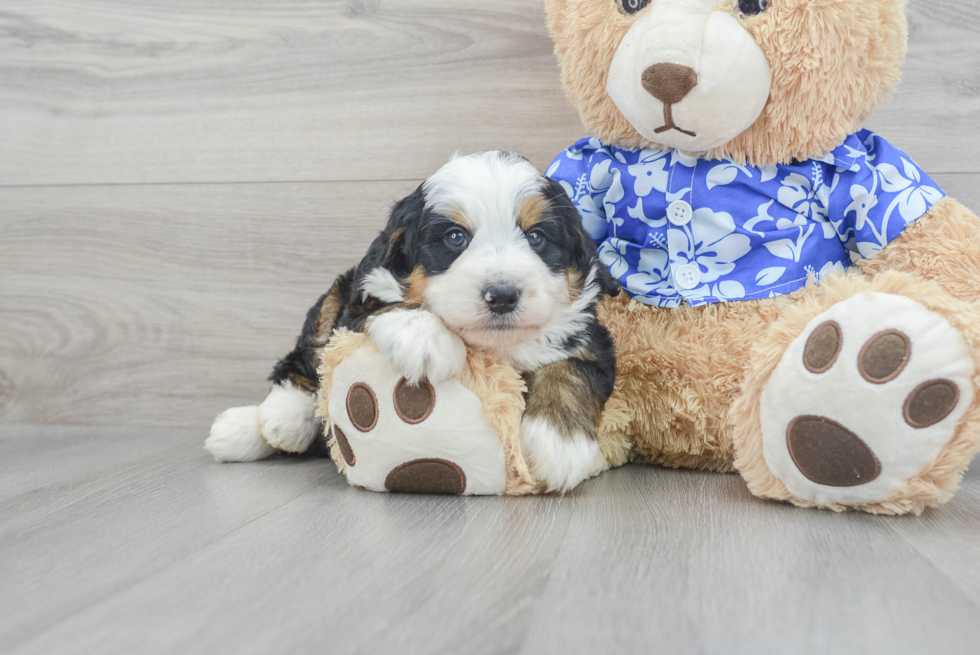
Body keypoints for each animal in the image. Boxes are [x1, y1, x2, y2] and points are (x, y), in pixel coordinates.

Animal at [206, 152, 620, 492]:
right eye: (455, 237)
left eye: (536, 236)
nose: (502, 295)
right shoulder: (358, 300)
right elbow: (386, 306)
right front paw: (424, 338)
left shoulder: (590, 336)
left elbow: (570, 370)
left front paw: (559, 443)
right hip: (332, 299)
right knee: (307, 358)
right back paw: (271, 419)